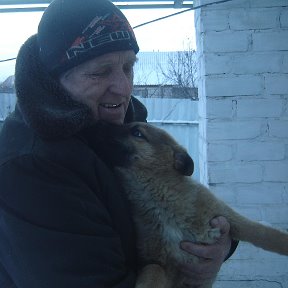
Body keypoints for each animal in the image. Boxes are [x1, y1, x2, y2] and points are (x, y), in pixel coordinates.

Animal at [87, 122, 288, 288]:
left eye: (137, 132)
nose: (97, 124)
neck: (162, 201)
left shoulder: (227, 217)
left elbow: (265, 234)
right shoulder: (160, 263)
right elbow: (153, 272)